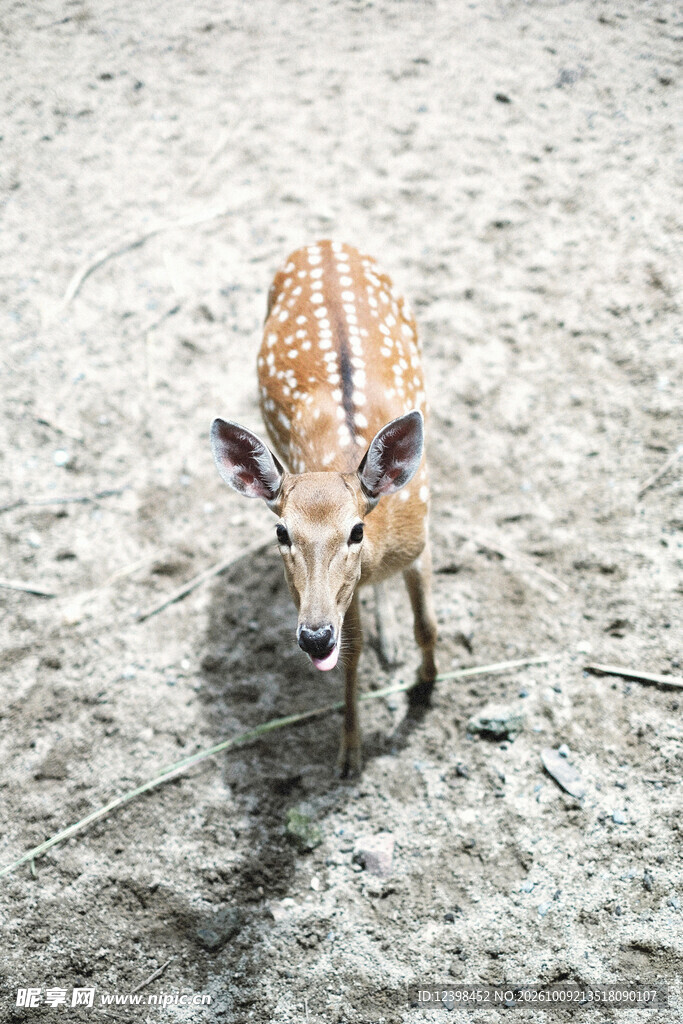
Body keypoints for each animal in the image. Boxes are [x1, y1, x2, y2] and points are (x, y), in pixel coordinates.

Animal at [210, 240, 437, 775]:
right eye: (281, 533)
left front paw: (425, 687)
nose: (314, 637)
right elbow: (352, 654)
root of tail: (325, 242)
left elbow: (428, 625)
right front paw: (349, 754)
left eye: (356, 530)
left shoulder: (422, 538)